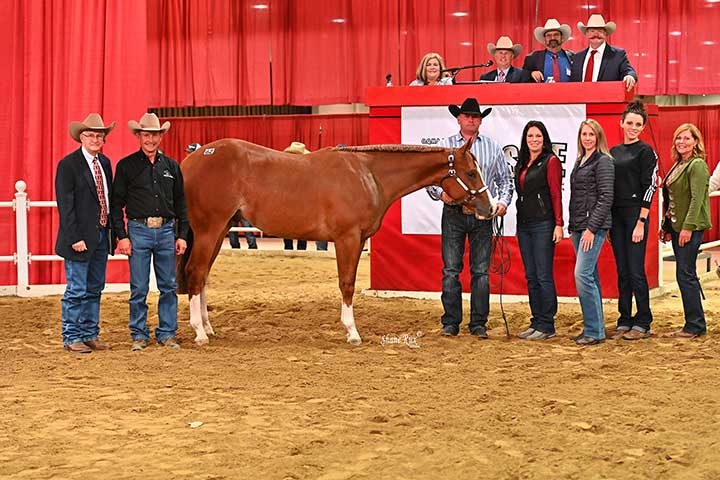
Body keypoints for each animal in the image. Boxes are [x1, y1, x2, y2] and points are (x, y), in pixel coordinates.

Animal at [177, 138, 495, 346]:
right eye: (470, 172)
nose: (489, 209)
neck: (368, 175)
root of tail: (191, 159)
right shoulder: (347, 239)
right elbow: (347, 284)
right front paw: (352, 332)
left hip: (220, 231)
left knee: (202, 277)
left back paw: (208, 327)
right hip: (209, 229)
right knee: (195, 272)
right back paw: (200, 333)